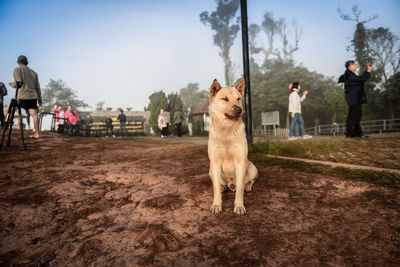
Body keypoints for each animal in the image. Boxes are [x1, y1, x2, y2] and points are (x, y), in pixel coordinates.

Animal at [208, 79, 258, 216]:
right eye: (225, 99)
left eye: (238, 99)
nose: (239, 109)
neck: (227, 130)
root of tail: (231, 183)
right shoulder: (215, 162)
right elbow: (215, 189)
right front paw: (216, 204)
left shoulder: (240, 162)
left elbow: (240, 189)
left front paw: (239, 206)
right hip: (210, 169)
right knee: (217, 183)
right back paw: (222, 187)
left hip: (252, 167)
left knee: (250, 181)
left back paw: (248, 186)